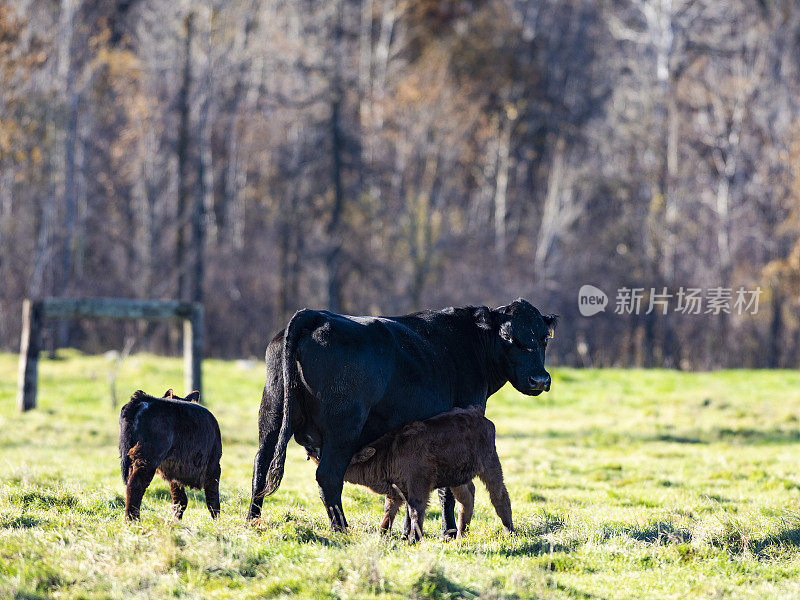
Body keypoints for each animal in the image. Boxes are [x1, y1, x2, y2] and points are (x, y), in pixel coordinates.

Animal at [117, 390, 222, 520]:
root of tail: (143, 399)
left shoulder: (174, 470)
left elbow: (180, 501)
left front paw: (176, 521)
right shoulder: (214, 465)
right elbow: (213, 500)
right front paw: (217, 522)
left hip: (131, 459)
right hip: (147, 459)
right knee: (135, 486)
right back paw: (133, 520)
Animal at [310, 408, 512, 544]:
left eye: (347, 458)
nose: (314, 452)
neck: (389, 452)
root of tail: (478, 414)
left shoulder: (418, 486)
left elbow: (416, 511)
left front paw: (413, 540)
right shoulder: (396, 491)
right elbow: (389, 511)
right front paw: (382, 534)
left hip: (490, 466)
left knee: (500, 497)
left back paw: (509, 532)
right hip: (457, 478)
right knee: (467, 499)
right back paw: (461, 535)